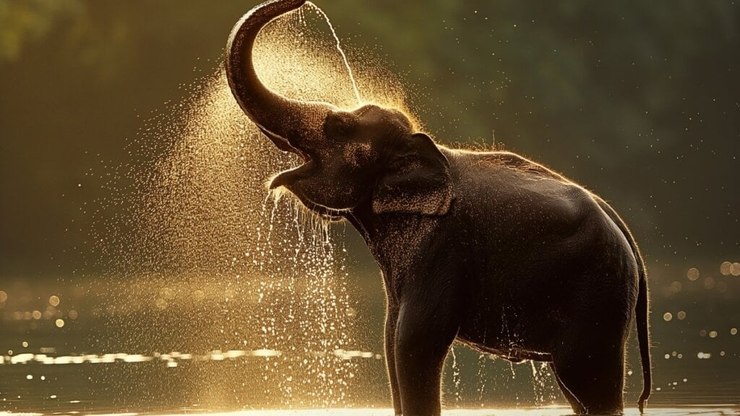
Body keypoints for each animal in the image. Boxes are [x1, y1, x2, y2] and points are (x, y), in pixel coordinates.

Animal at [225, 1, 652, 414]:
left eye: (340, 127)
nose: (300, 3)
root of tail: (630, 241)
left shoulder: (441, 248)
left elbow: (414, 342)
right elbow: (390, 342)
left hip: (599, 295)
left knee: (589, 382)